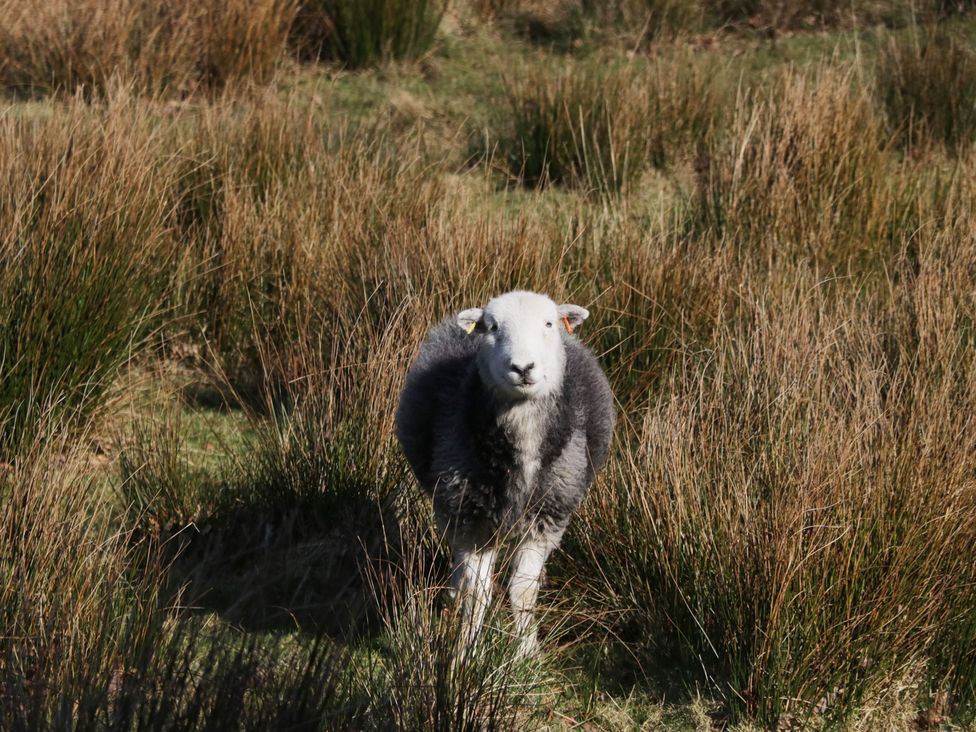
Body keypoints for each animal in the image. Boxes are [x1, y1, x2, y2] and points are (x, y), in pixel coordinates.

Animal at [395, 290, 615, 655]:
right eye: (492, 326)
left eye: (549, 323)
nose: (523, 367)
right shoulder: (471, 516)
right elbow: (477, 595)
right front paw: (464, 652)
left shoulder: (545, 518)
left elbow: (522, 592)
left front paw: (526, 653)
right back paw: (453, 592)